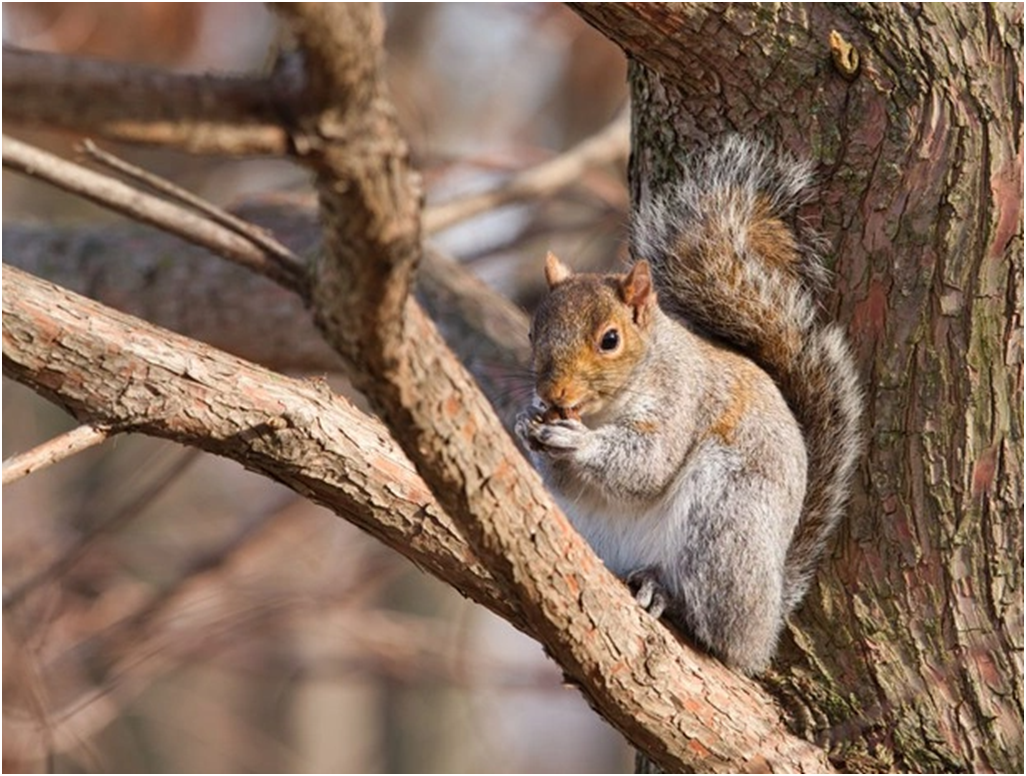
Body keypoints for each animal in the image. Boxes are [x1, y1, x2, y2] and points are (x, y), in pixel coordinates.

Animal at [517, 134, 861, 673]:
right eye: (533, 333)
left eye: (610, 339)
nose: (554, 395)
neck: (606, 410)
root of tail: (767, 620)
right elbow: (567, 481)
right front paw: (527, 423)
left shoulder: (682, 398)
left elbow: (647, 465)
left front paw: (577, 442)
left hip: (723, 523)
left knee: (719, 630)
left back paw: (667, 595)